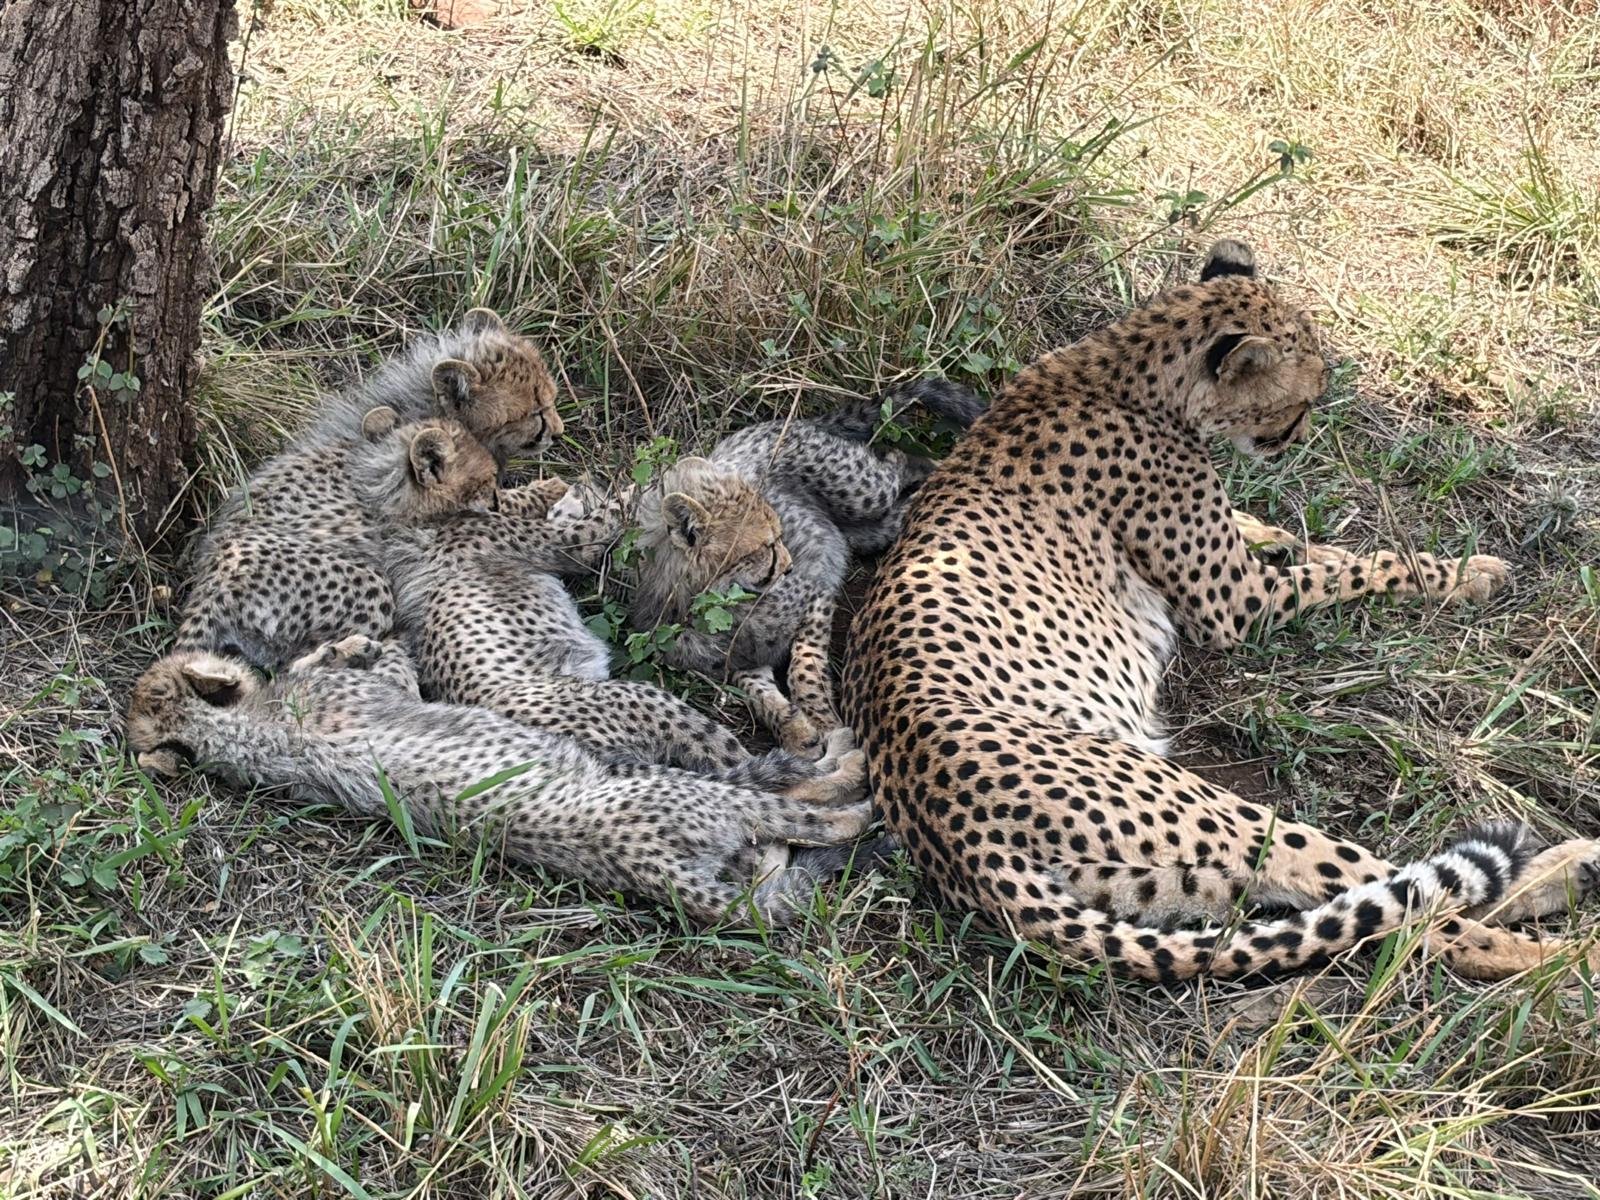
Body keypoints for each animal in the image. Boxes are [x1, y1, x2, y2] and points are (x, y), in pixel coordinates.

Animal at [126, 635, 873, 924]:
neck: (236, 738)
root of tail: (647, 871)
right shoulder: (392, 690)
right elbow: (392, 661)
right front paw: (352, 644)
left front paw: (333, 646)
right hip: (695, 786)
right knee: (799, 807)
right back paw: (855, 777)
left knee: (772, 853)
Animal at [626, 381, 985, 754]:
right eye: (766, 546)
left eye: (779, 535)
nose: (788, 567)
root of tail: (773, 425)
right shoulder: (743, 656)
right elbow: (757, 690)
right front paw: (795, 730)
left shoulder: (818, 586)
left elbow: (804, 664)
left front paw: (823, 719)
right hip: (864, 532)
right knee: (899, 509)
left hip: (865, 492)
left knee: (898, 460)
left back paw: (943, 472)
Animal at [842, 239, 1600, 983]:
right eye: (1303, 397)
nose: (1298, 436)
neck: (1128, 371)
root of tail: (956, 841)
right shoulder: (1234, 603)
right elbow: (1364, 566)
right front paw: (1461, 572)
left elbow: (1298, 545)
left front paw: (1287, 533)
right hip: (1216, 814)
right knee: (1414, 909)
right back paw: (1557, 953)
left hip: (1171, 880)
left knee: (1378, 898)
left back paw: (1570, 872)